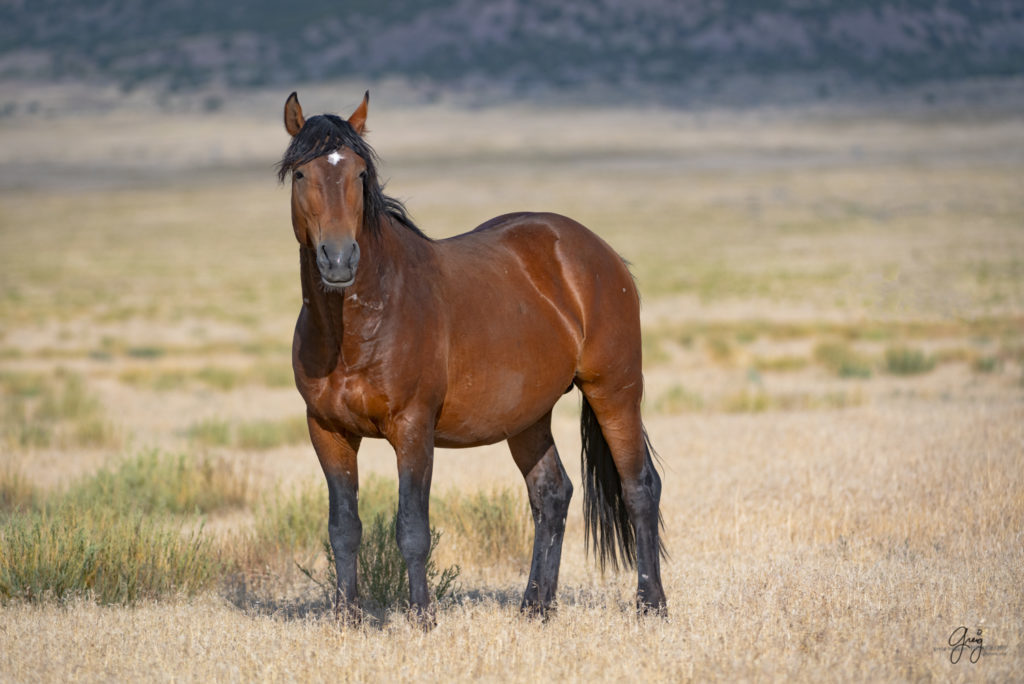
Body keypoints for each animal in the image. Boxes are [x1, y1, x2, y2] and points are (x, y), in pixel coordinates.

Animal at [280, 88, 667, 622]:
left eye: (359, 173)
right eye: (301, 174)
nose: (338, 260)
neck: (357, 327)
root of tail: (598, 252)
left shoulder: (413, 429)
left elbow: (412, 529)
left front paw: (421, 618)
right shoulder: (327, 431)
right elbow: (344, 529)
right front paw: (347, 619)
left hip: (615, 391)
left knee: (639, 488)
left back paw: (652, 605)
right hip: (529, 415)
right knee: (551, 494)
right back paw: (535, 607)